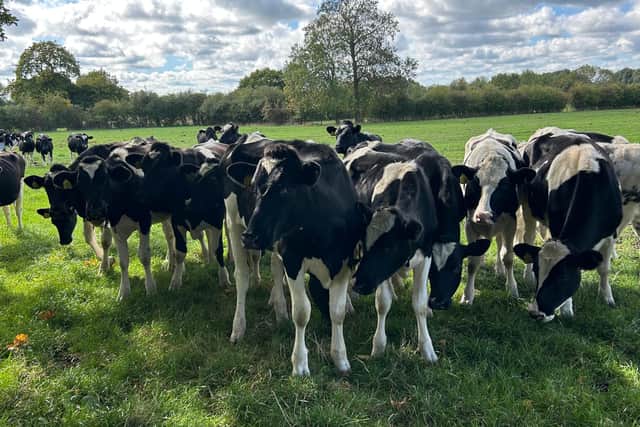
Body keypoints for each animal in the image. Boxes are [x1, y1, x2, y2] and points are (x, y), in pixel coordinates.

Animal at [227, 139, 367, 376]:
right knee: (242, 277)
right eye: (254, 186)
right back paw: (239, 328)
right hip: (233, 223)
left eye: (286, 189)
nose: (251, 236)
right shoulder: (293, 259)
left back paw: (280, 312)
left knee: (275, 270)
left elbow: (337, 312)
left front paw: (340, 358)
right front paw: (300, 364)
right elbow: (302, 313)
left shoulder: (344, 262)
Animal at [344, 140, 489, 360]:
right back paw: (348, 304)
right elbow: (382, 303)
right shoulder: (381, 269)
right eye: (369, 246)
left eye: (456, 268)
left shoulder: (425, 253)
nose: (438, 303)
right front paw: (379, 346)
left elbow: (419, 303)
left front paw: (427, 349)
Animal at [452, 129, 535, 304]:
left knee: (500, 243)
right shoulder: (470, 224)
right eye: (475, 184)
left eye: (504, 186)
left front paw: (512, 289)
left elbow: (508, 256)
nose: (483, 215)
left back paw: (502, 270)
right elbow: (473, 261)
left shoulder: (510, 222)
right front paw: (467, 296)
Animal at [514, 134, 622, 321]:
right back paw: (527, 277)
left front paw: (607, 297)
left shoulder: (610, 234)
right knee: (528, 237)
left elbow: (604, 269)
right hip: (527, 206)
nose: (536, 312)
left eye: (563, 276)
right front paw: (566, 309)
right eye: (537, 270)